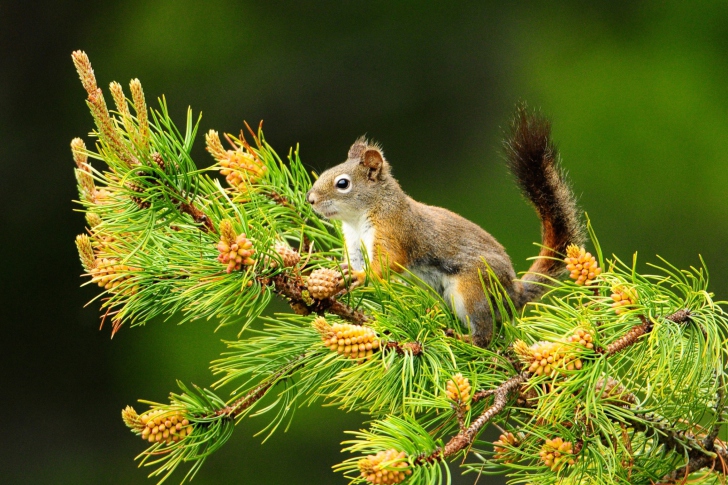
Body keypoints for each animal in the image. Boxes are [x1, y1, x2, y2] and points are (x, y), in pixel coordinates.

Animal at [304, 105, 584, 348]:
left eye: (343, 183)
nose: (310, 199)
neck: (359, 219)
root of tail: (513, 293)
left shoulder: (394, 230)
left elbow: (389, 261)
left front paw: (361, 276)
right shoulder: (354, 244)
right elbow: (355, 261)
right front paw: (342, 272)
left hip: (473, 288)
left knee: (485, 333)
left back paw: (465, 339)